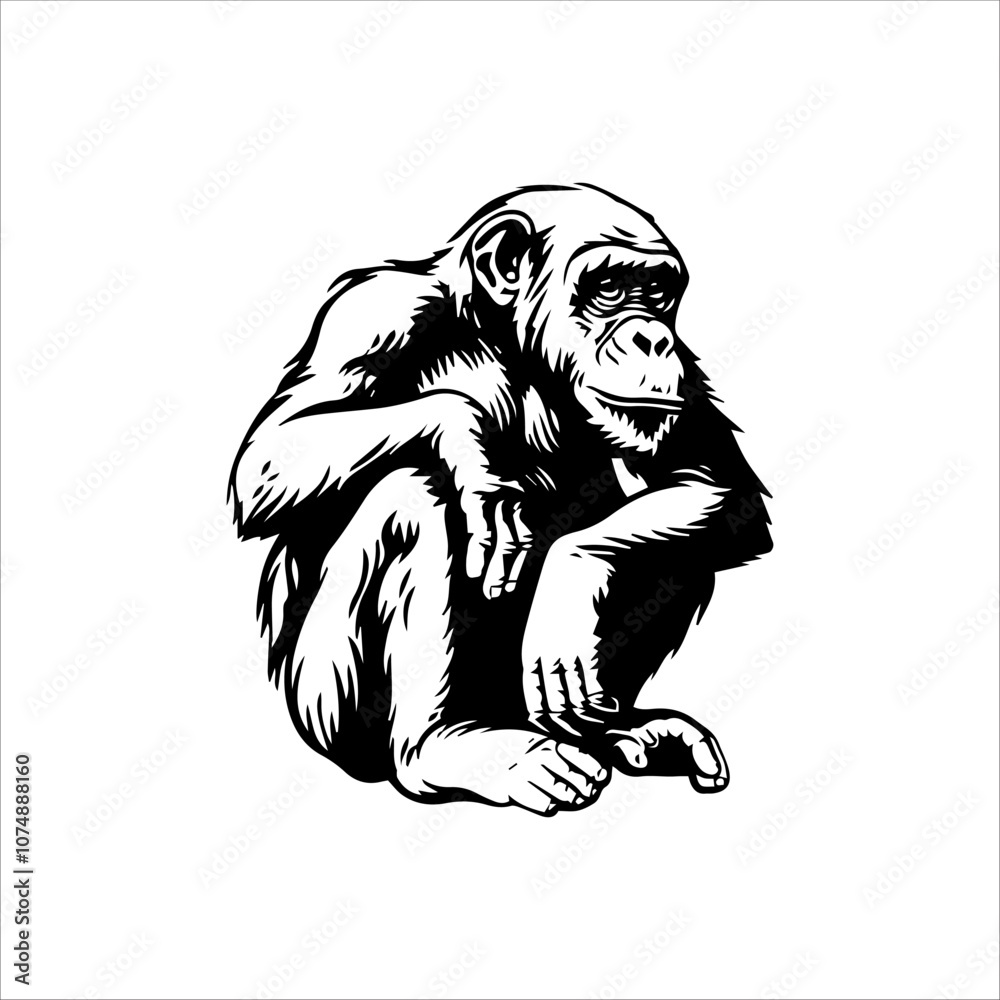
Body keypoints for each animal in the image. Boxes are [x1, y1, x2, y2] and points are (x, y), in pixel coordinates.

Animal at [229, 183, 772, 816]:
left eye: (656, 296)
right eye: (610, 290)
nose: (651, 336)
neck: (504, 339)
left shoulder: (684, 367)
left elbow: (719, 486)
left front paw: (572, 574)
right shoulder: (371, 312)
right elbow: (272, 454)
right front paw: (466, 434)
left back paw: (623, 731)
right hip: (327, 699)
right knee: (415, 487)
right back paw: (443, 745)